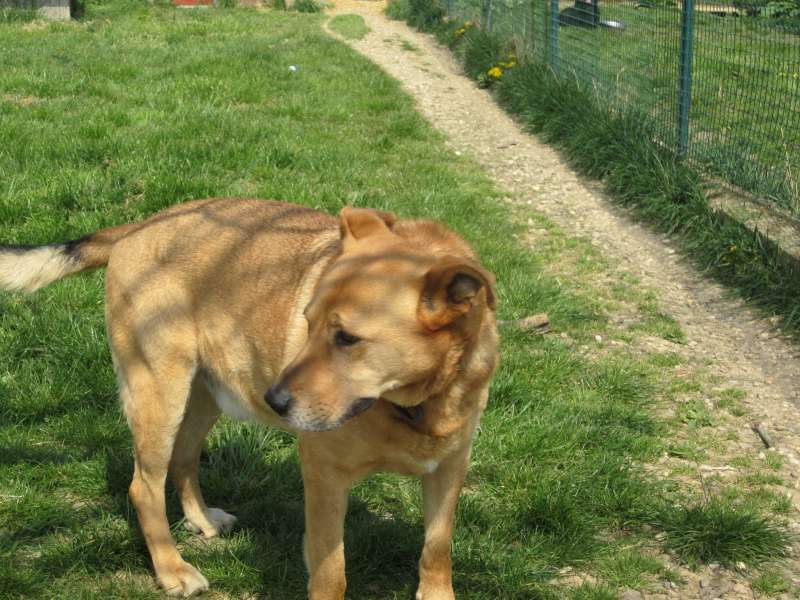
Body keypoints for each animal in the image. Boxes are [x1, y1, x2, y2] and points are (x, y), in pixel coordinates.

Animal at [0, 199, 496, 596]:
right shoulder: (325, 477)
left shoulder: (449, 469)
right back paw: (172, 569)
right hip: (160, 393)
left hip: (204, 397)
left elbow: (437, 549)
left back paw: (200, 519)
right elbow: (331, 572)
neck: (420, 403)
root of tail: (138, 226)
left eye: (347, 339)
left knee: (184, 459)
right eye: (307, 322)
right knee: (144, 486)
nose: (273, 400)